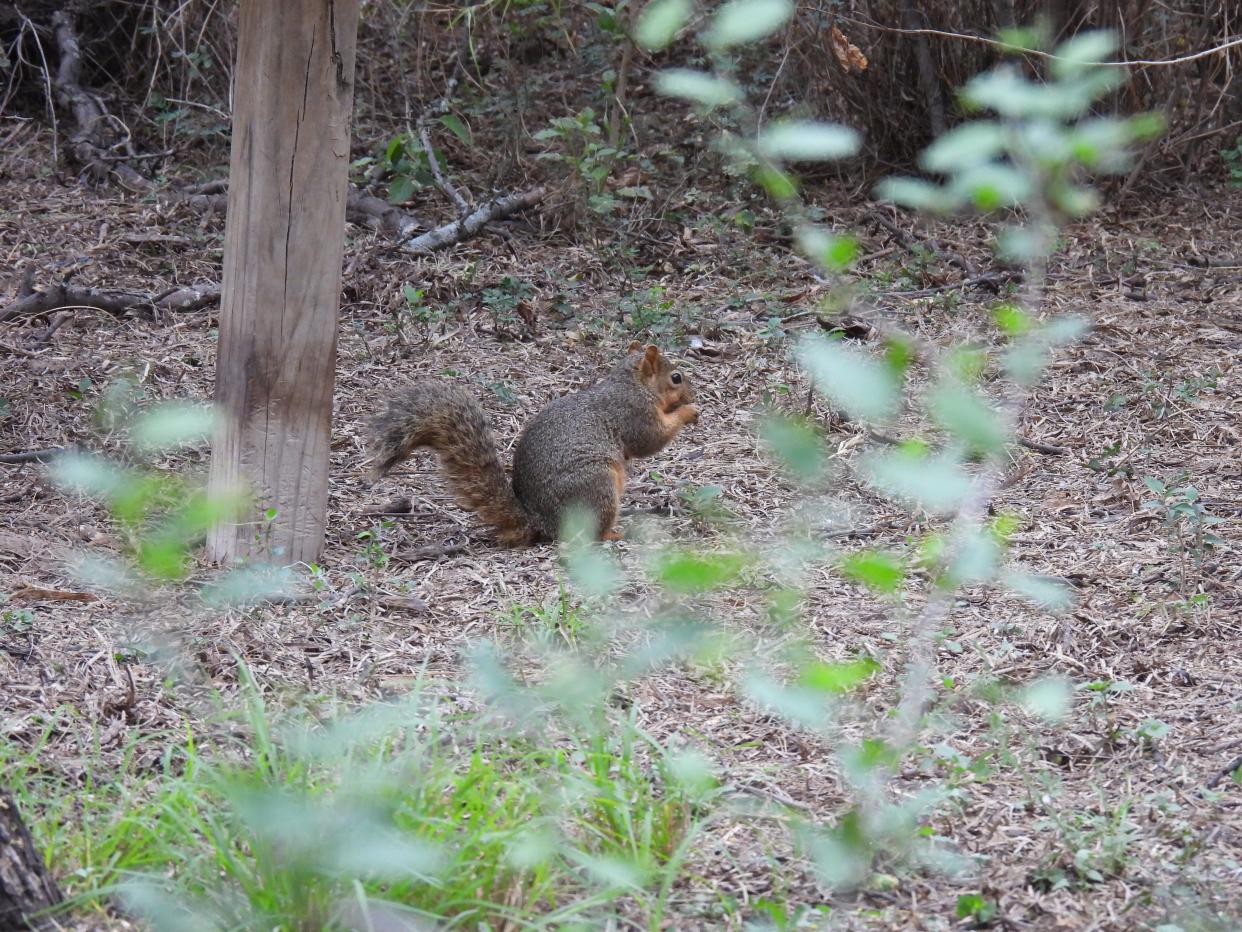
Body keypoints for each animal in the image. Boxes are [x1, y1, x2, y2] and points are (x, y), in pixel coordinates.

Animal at [365, 345, 700, 546]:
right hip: (597, 484)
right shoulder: (633, 414)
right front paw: (689, 411)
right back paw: (615, 532)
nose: (693, 393)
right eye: (676, 377)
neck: (632, 384)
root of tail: (541, 521)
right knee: (590, 533)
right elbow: (651, 439)